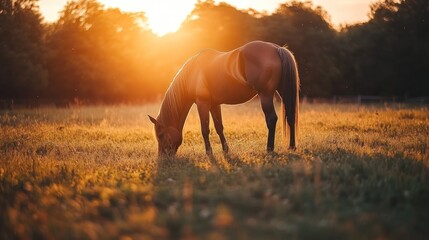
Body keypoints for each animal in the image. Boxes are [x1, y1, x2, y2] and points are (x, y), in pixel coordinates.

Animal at [149, 40, 300, 158]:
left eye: (160, 135)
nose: (163, 157)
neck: (193, 73)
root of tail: (277, 49)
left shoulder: (202, 104)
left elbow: (205, 129)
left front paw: (209, 153)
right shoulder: (214, 105)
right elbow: (219, 127)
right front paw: (226, 150)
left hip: (266, 95)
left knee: (271, 119)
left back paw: (269, 149)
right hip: (283, 91)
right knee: (291, 116)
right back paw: (292, 146)